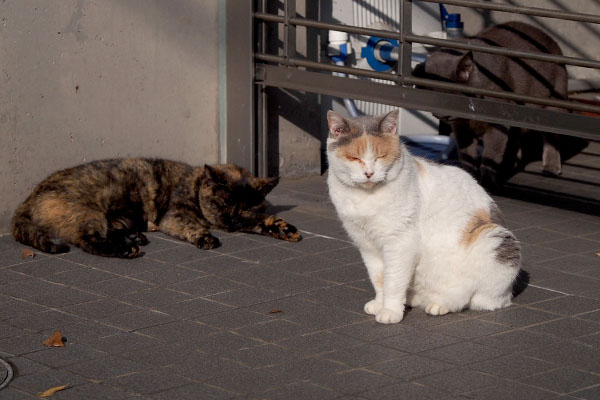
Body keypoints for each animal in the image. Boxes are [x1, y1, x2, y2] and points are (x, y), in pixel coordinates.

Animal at [12, 159, 304, 260]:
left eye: (244, 209)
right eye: (224, 203)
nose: (231, 222)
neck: (194, 183)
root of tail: (29, 197)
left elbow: (265, 219)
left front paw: (283, 227)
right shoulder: (174, 216)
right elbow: (192, 226)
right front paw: (205, 237)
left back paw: (133, 237)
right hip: (88, 213)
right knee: (88, 240)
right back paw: (126, 249)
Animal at [328, 110, 520, 324]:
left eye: (381, 156)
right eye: (354, 158)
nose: (369, 173)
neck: (365, 198)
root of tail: (508, 294)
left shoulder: (400, 243)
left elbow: (393, 281)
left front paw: (390, 311)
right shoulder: (367, 245)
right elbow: (379, 279)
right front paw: (380, 303)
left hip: (492, 239)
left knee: (468, 296)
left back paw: (440, 304)